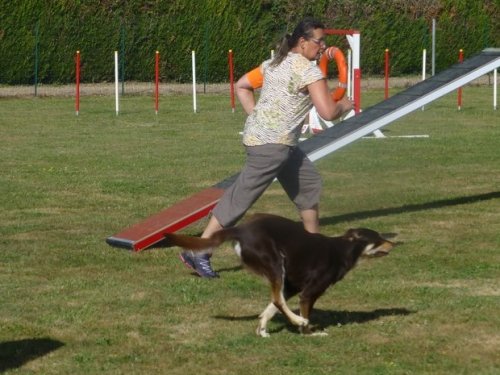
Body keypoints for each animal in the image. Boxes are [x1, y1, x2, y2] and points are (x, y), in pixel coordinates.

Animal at [164, 213, 394, 340]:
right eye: (379, 238)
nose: (395, 242)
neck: (343, 249)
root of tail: (240, 229)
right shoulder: (309, 293)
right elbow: (295, 312)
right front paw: (308, 332)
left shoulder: (291, 286)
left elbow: (270, 308)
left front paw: (262, 326)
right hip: (275, 263)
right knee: (277, 299)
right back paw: (297, 319)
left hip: (278, 273)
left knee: (276, 300)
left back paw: (265, 328)